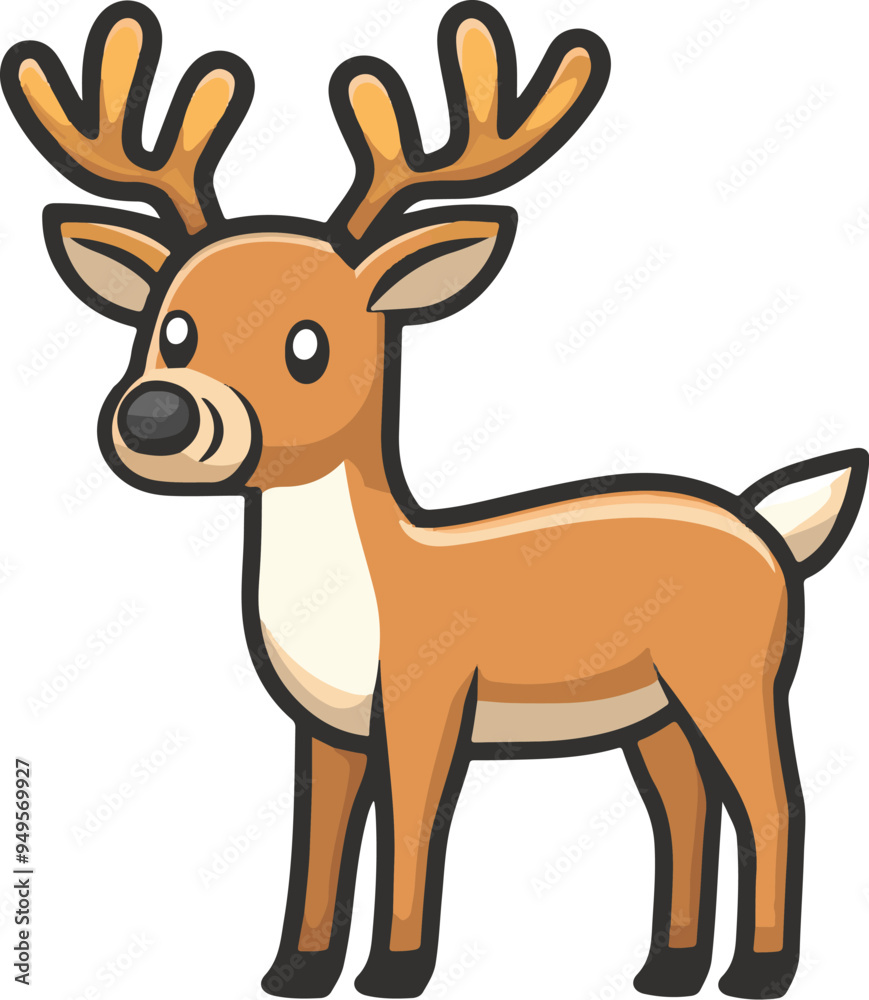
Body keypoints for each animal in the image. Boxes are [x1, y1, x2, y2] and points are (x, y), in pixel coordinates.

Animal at [2, 2, 865, 998]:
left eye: (308, 344)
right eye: (168, 328)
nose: (157, 414)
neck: (356, 602)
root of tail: (771, 529)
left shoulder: (429, 697)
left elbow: (412, 828)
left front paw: (393, 970)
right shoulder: (326, 726)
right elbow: (317, 843)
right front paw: (294, 972)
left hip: (733, 674)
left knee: (773, 802)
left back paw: (754, 972)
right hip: (652, 708)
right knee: (685, 804)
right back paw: (664, 969)